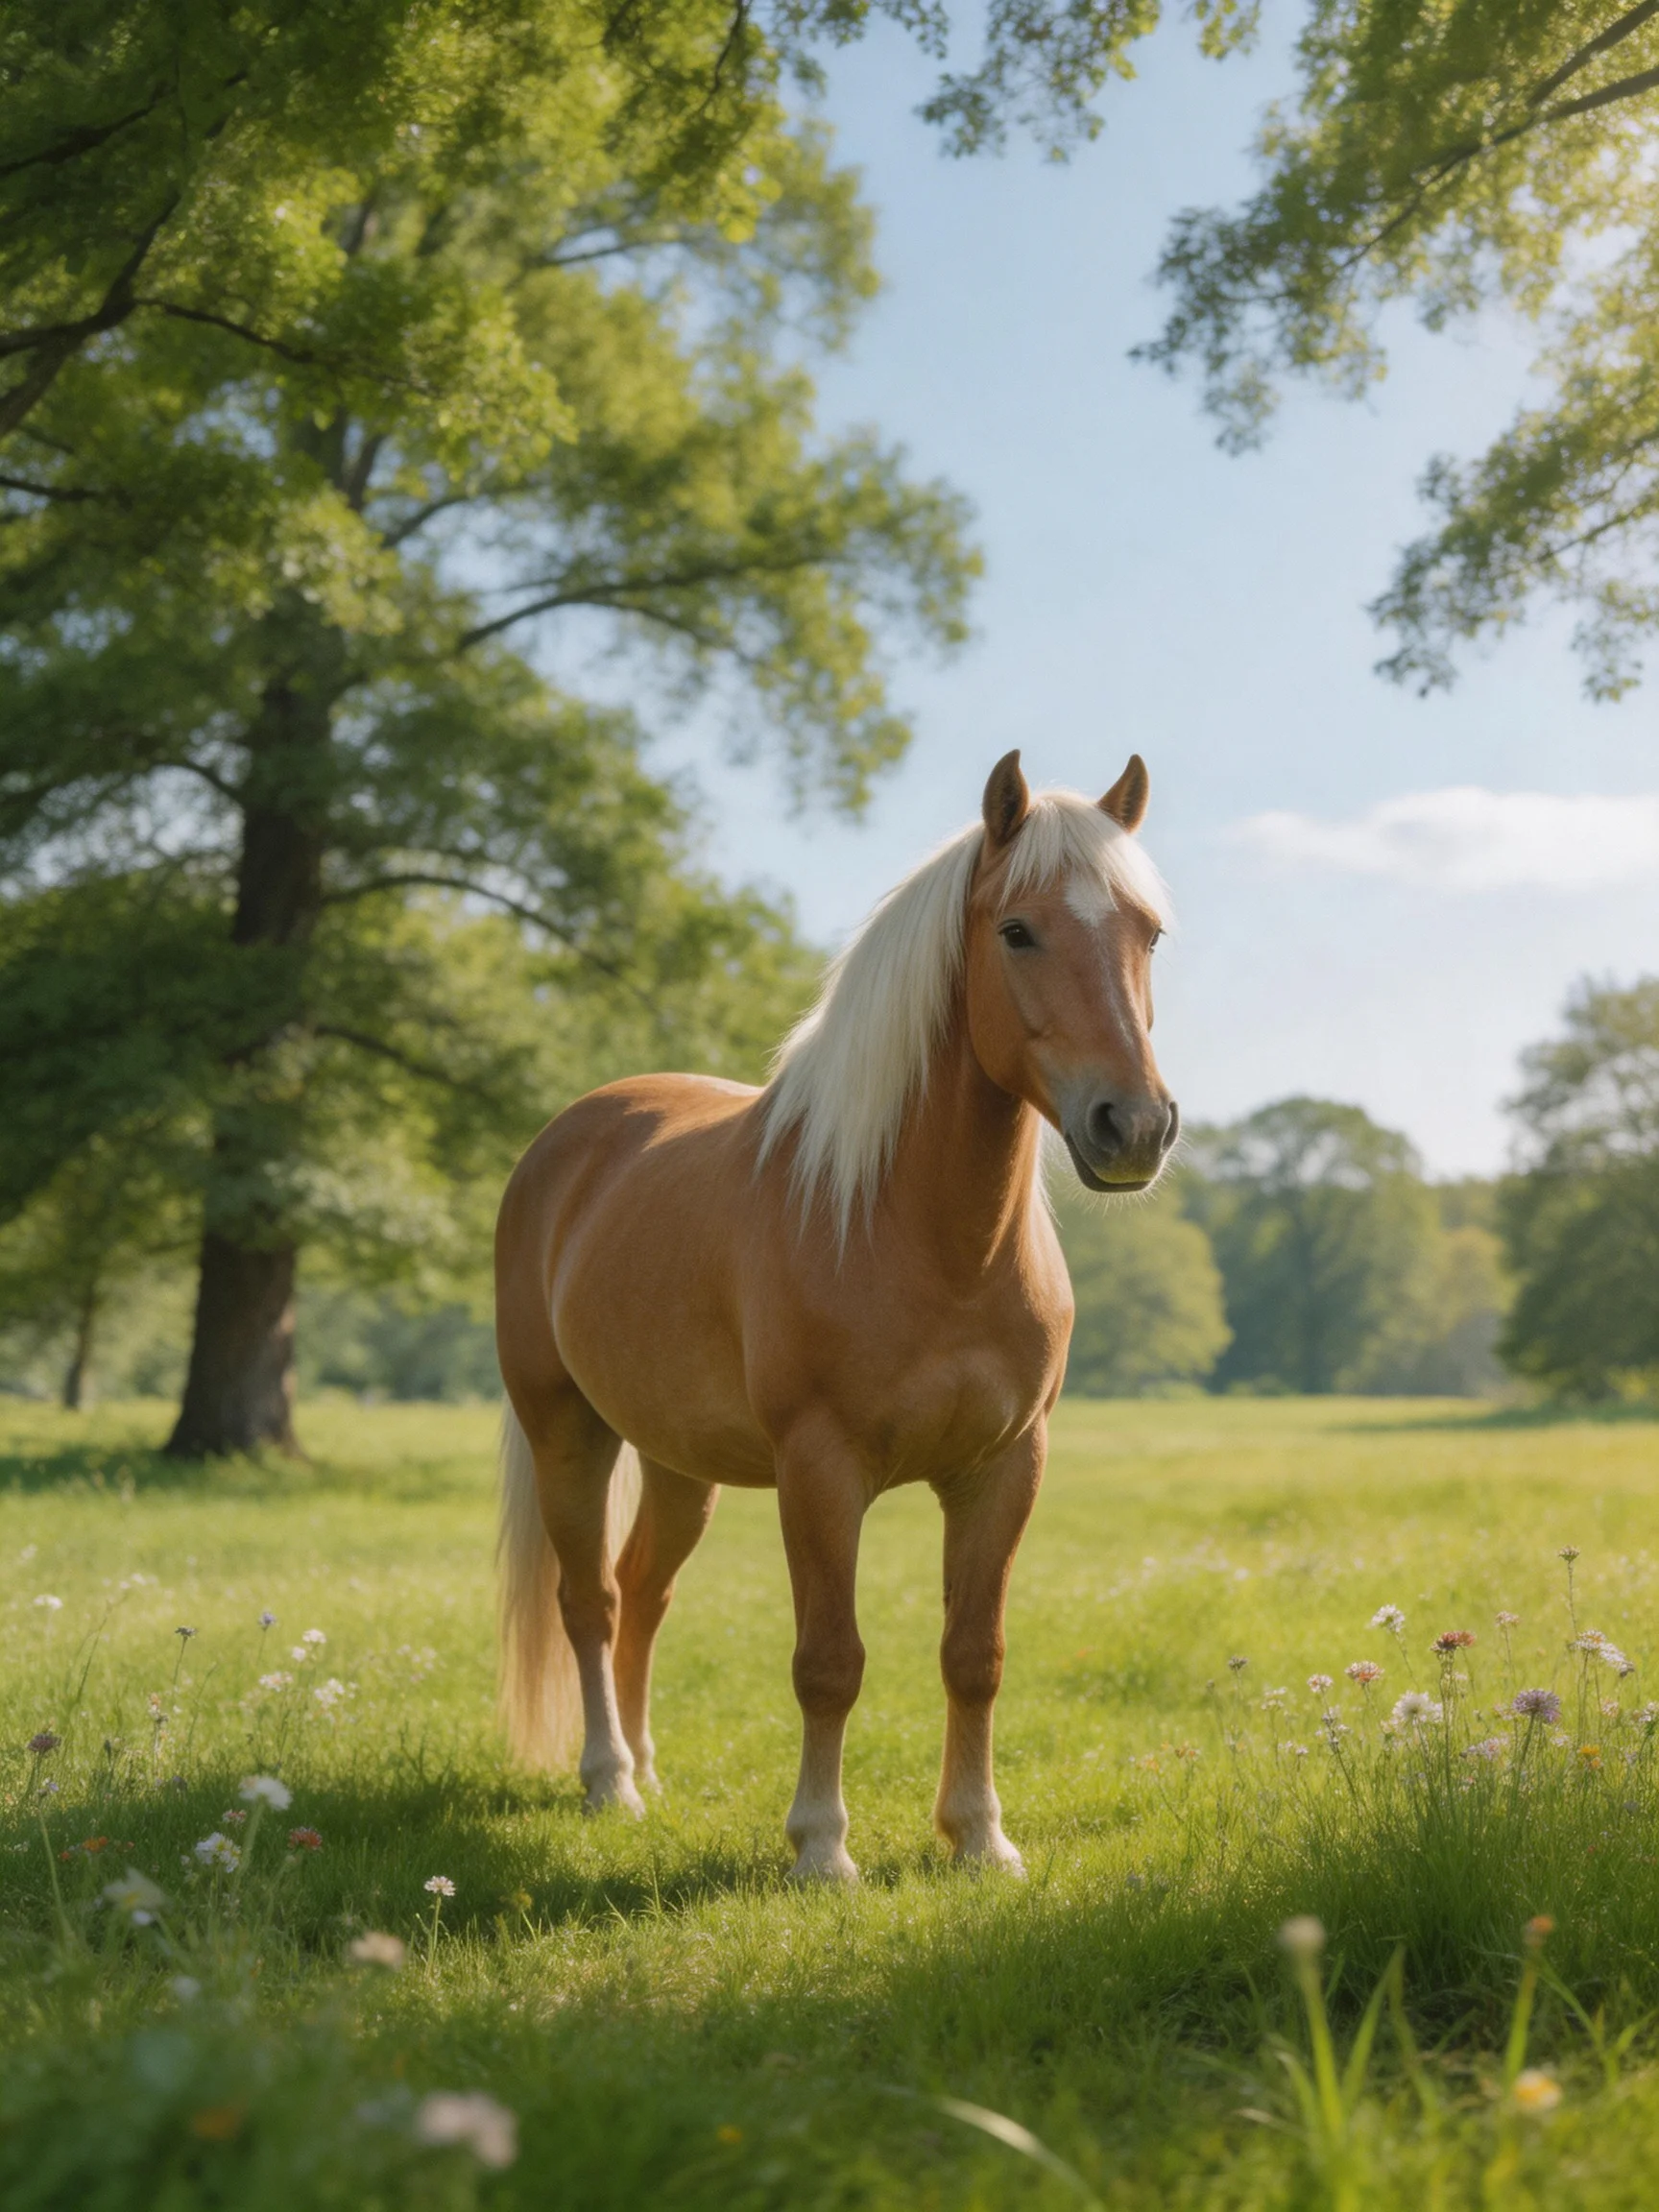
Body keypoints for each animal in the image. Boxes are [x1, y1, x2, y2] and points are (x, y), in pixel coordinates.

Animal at [495, 749, 1178, 1880]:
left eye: (1148, 933)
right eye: (1017, 930)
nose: (1135, 1127)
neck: (925, 1238)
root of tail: (570, 1137)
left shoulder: (1006, 1467)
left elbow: (974, 1655)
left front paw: (979, 1837)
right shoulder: (819, 1470)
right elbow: (829, 1661)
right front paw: (821, 1848)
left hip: (679, 1463)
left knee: (643, 1594)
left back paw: (647, 1769)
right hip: (568, 1434)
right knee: (590, 1604)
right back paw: (609, 1784)